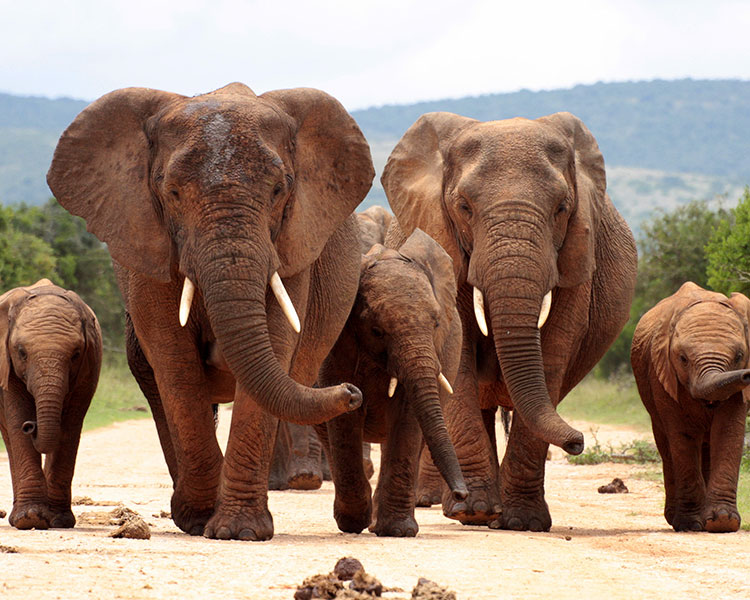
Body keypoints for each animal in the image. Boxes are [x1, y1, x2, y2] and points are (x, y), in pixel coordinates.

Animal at [0, 278, 102, 528]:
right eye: (21, 352)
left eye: (76, 354)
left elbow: (70, 425)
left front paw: (58, 520)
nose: (31, 426)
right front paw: (30, 518)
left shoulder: (89, 365)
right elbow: (17, 415)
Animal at [47, 81, 376, 540]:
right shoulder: (147, 243)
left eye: (279, 190)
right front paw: (203, 520)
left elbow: (276, 344)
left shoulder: (291, 245)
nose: (353, 392)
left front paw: (239, 531)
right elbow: (174, 360)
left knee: (303, 386)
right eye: (172, 193)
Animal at [318, 227, 470, 536]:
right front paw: (354, 522)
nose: (463, 495)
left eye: (437, 323)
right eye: (377, 330)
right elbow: (344, 415)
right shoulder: (337, 343)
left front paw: (397, 530)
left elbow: (408, 416)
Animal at [384, 109, 636, 528]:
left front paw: (523, 522)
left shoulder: (575, 260)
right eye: (464, 207)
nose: (578, 442)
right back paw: (461, 506)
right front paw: (475, 512)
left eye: (562, 208)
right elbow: (459, 359)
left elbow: (552, 355)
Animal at [636, 282, 750, 536]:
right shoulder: (662, 374)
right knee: (667, 447)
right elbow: (682, 436)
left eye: (739, 356)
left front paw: (722, 522)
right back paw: (674, 519)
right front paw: (690, 524)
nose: (748, 375)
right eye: (683, 358)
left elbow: (728, 431)